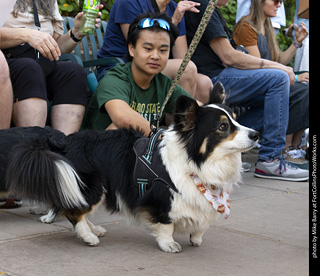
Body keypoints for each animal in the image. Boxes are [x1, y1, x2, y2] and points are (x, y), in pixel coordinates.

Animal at [0, 83, 258, 253]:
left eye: (236, 118)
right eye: (223, 127)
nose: (256, 134)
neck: (195, 160)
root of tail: (63, 140)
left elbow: (202, 220)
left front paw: (196, 237)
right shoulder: (163, 199)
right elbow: (166, 224)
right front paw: (169, 244)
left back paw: (94, 230)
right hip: (94, 185)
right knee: (75, 212)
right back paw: (88, 237)